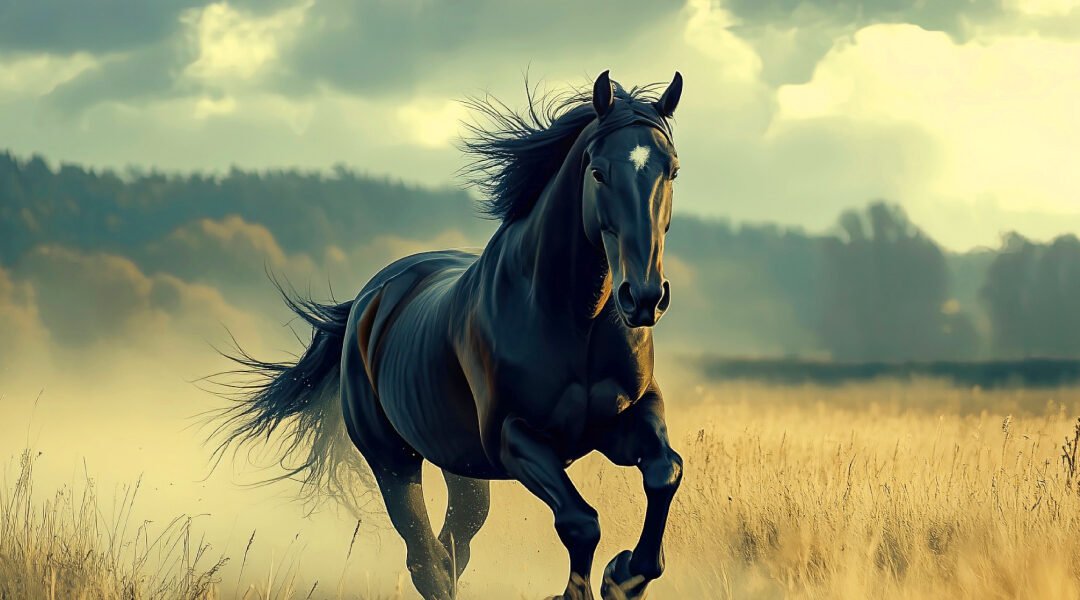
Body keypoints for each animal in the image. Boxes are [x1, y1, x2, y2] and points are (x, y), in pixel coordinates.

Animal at [213, 70, 684, 600]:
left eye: (672, 170)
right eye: (599, 172)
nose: (643, 297)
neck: (573, 322)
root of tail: (369, 300)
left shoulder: (629, 415)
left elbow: (664, 472)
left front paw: (626, 574)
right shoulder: (515, 437)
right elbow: (580, 522)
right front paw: (598, 582)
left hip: (461, 464)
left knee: (454, 541)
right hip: (393, 459)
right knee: (427, 558)